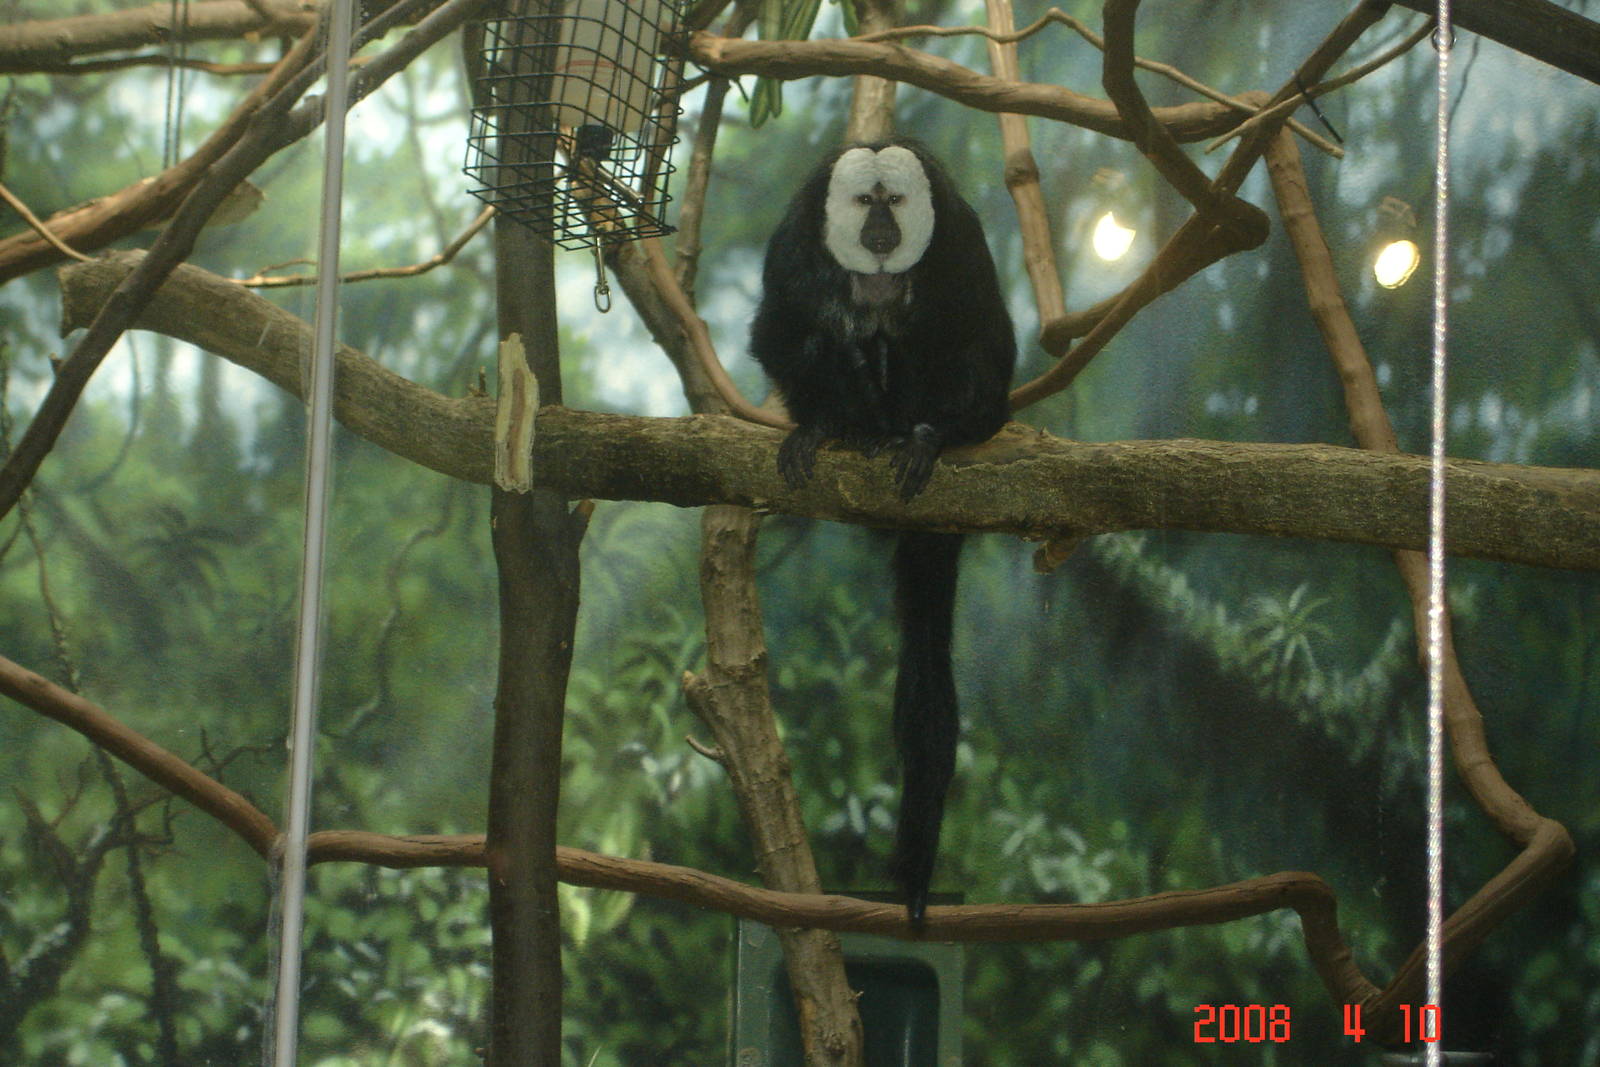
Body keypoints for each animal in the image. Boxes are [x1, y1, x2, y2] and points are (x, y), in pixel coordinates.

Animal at [749, 139, 1016, 921]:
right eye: (862, 202)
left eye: (893, 202)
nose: (878, 233)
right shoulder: (792, 253)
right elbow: (783, 336)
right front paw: (824, 423)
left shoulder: (961, 249)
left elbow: (988, 357)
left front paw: (932, 437)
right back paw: (858, 426)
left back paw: (911, 435)